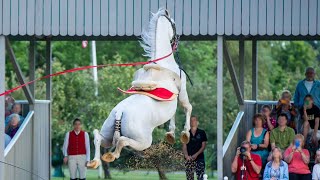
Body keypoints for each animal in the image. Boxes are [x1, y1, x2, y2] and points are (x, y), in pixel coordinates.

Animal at [87, 8, 192, 169]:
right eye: (173, 23)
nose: (177, 39)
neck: (163, 64)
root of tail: (120, 112)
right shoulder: (182, 93)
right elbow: (187, 108)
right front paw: (185, 134)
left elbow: (173, 114)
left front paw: (171, 134)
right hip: (143, 141)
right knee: (122, 141)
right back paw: (112, 155)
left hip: (108, 136)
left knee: (98, 137)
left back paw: (95, 161)